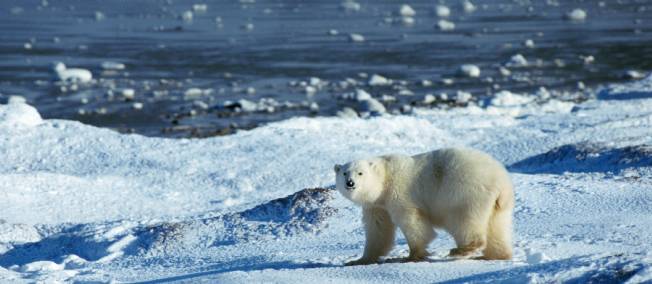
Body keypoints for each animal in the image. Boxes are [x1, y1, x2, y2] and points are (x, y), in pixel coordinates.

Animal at [336, 148, 516, 266]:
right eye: (344, 173)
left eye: (360, 173)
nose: (350, 183)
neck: (385, 179)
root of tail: (501, 182)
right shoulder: (376, 205)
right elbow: (378, 229)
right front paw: (359, 260)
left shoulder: (399, 193)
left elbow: (412, 221)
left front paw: (411, 256)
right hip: (498, 206)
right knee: (497, 227)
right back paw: (495, 255)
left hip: (465, 192)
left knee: (463, 220)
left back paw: (461, 250)